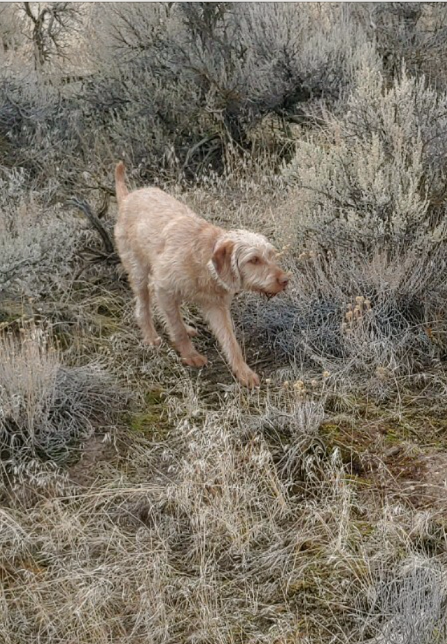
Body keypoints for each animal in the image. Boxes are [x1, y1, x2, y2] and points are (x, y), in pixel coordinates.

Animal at [114, 161, 290, 388]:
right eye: (253, 260)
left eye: (271, 255)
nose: (285, 280)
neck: (205, 263)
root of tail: (127, 197)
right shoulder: (164, 287)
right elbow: (177, 329)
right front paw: (190, 355)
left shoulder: (216, 307)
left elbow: (230, 342)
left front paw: (243, 372)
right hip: (139, 272)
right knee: (144, 306)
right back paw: (151, 336)